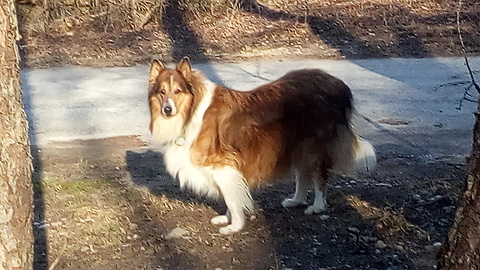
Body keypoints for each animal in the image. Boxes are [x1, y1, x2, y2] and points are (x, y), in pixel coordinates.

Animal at [148, 57, 376, 234]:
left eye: (178, 91)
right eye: (162, 92)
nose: (167, 110)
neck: (191, 112)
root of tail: (338, 84)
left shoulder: (223, 166)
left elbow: (232, 199)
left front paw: (234, 226)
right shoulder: (229, 169)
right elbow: (231, 196)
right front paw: (227, 218)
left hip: (314, 147)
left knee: (319, 177)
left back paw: (317, 206)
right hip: (298, 145)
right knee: (303, 175)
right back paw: (296, 200)